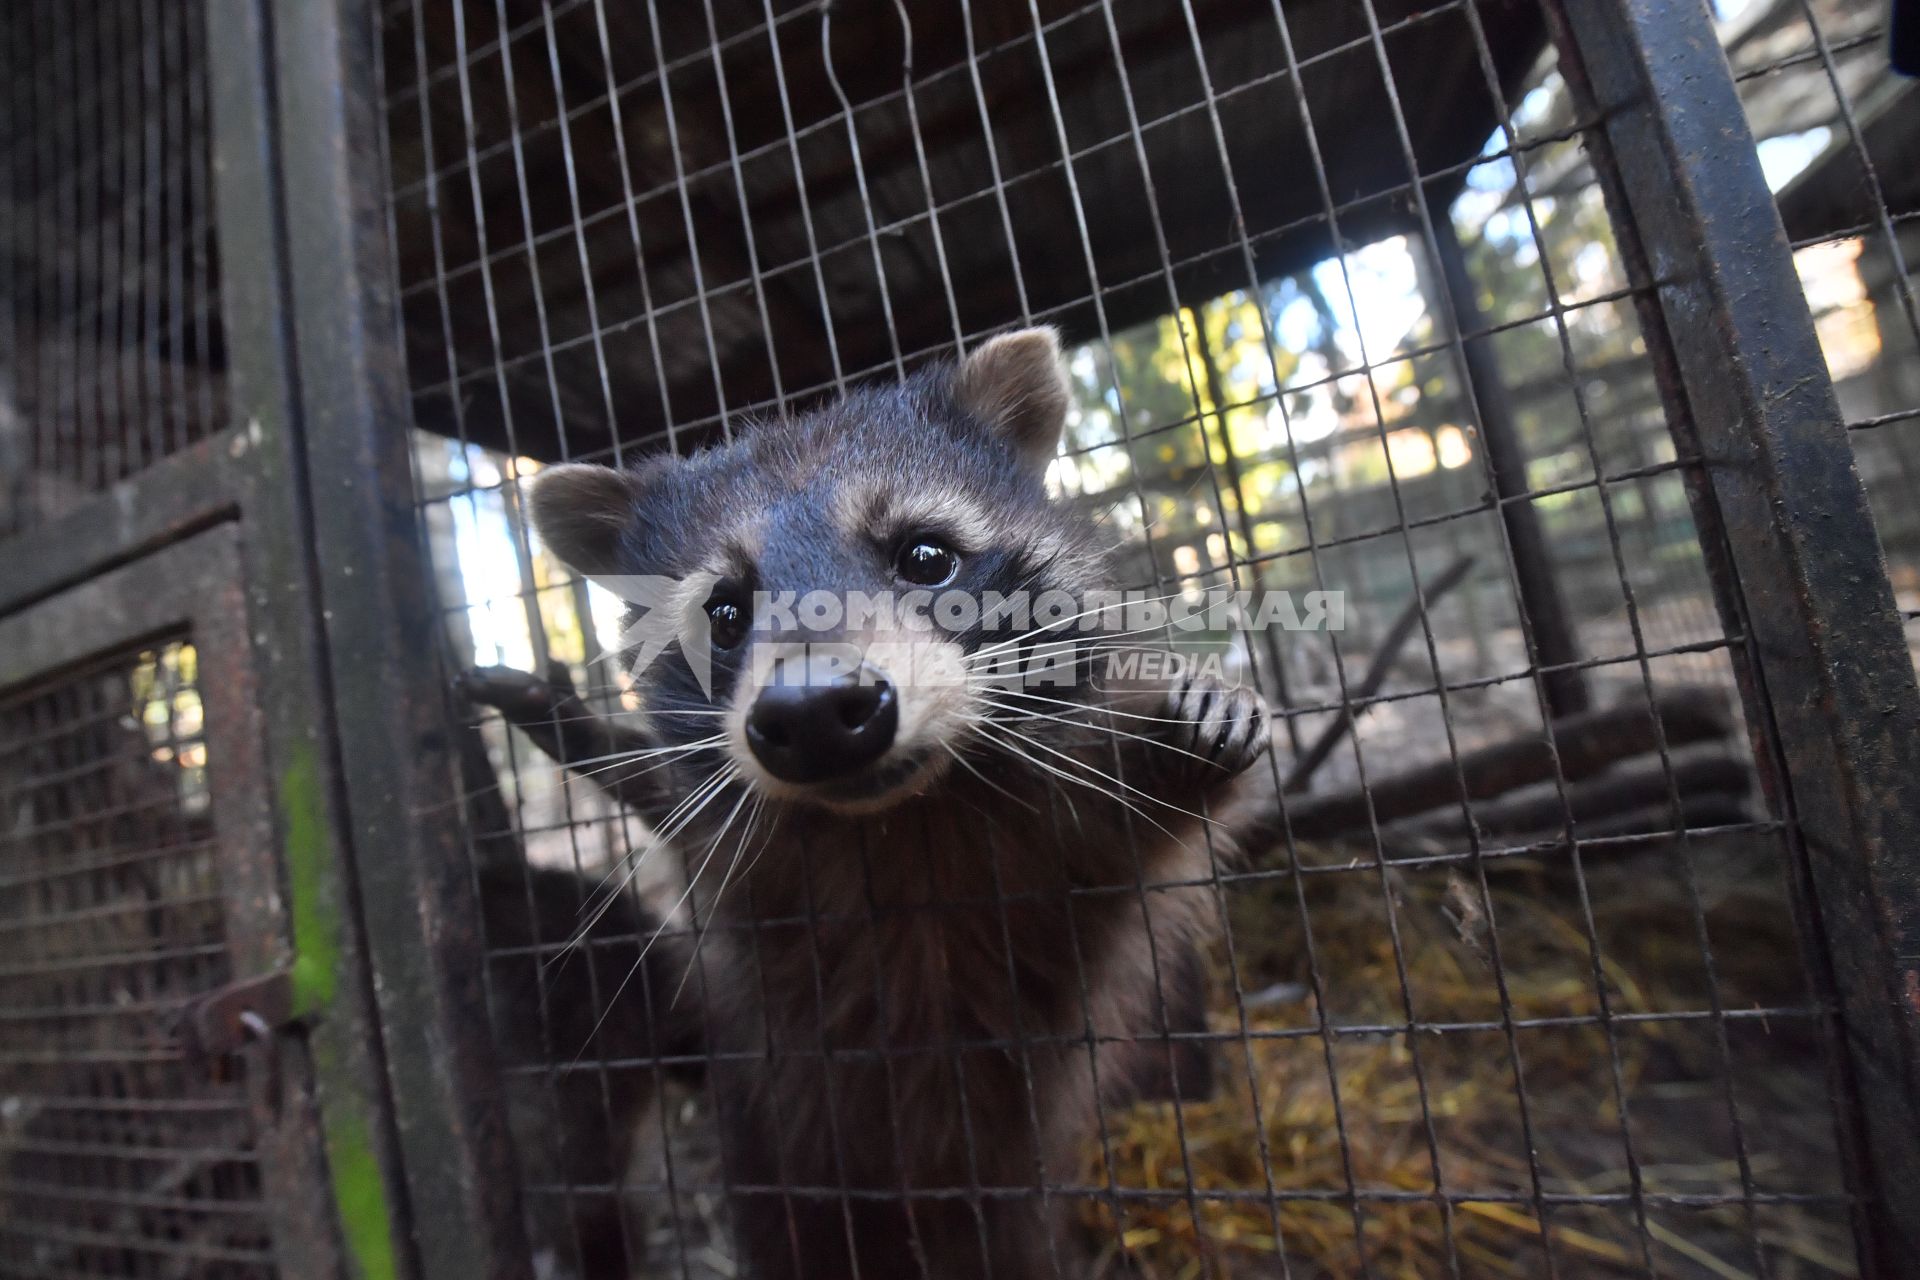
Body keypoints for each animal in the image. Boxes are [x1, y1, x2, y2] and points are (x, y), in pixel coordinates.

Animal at [466, 330, 1267, 1280]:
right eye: (722, 613)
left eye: (925, 557)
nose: (814, 712)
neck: (903, 815)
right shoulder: (741, 860)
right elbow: (664, 797)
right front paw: (573, 727)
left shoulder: (1072, 838)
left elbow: (1151, 816)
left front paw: (1194, 723)